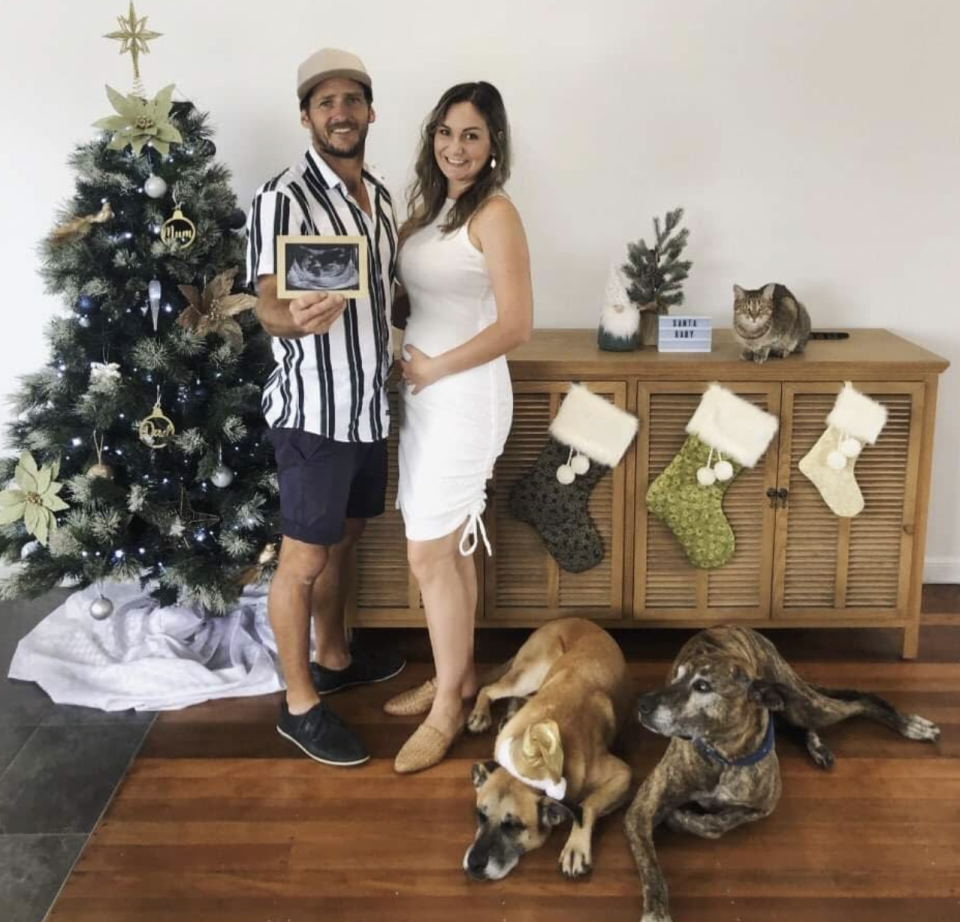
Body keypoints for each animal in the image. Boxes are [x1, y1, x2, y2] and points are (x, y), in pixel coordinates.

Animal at [464, 616, 632, 880]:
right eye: (480, 814)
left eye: (513, 826)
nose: (473, 864)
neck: (532, 760)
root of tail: (569, 618)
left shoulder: (623, 774)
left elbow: (587, 804)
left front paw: (576, 847)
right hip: (529, 674)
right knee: (489, 689)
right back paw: (482, 714)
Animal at [624, 624, 936, 920]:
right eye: (676, 677)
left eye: (702, 686)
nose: (642, 704)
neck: (724, 753)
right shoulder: (641, 810)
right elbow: (652, 869)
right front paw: (656, 912)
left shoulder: (765, 805)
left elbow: (719, 823)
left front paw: (684, 818)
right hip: (793, 703)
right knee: (799, 722)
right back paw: (819, 746)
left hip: (805, 703)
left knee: (859, 702)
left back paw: (910, 725)